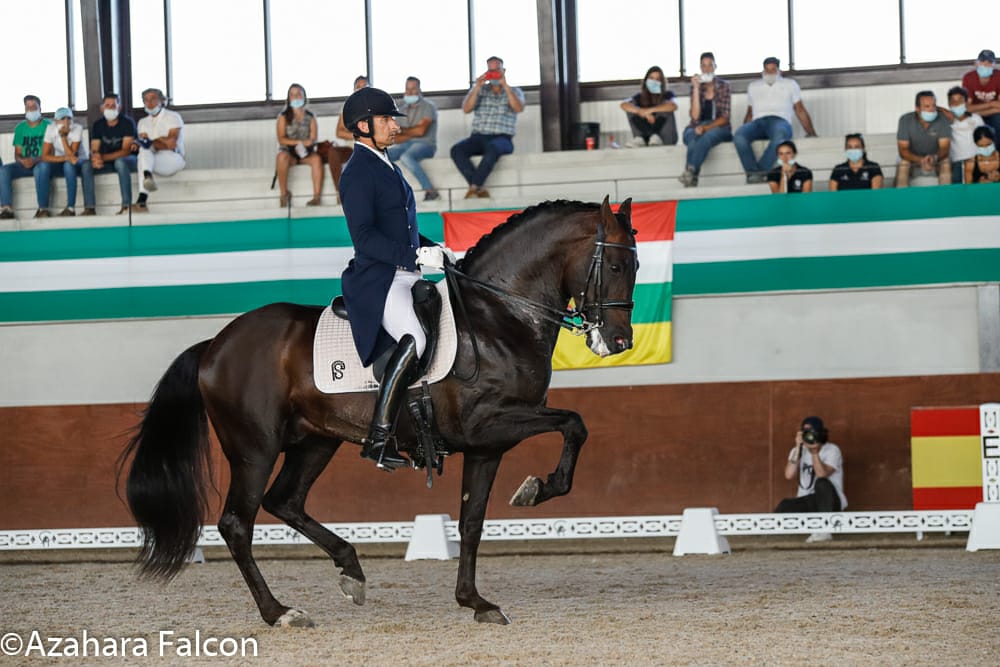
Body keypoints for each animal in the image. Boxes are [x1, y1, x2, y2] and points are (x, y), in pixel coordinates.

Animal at [121, 196, 636, 628]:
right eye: (613, 264)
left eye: (633, 265)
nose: (618, 342)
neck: (500, 316)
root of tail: (216, 344)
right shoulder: (490, 423)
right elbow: (575, 424)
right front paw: (538, 488)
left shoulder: (488, 445)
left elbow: (471, 523)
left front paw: (475, 601)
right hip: (255, 449)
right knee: (237, 523)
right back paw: (280, 613)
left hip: (316, 440)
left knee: (285, 501)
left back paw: (351, 570)